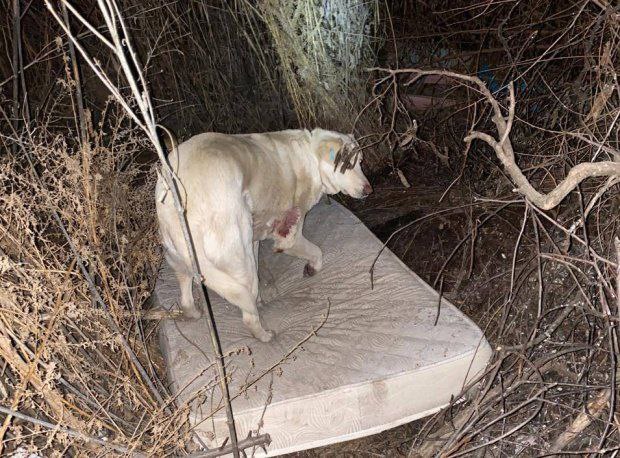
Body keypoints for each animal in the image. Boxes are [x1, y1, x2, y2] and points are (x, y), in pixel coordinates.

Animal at [157, 128, 370, 340]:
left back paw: (194, 313)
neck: (311, 157)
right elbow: (316, 252)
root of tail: (178, 208)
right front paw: (312, 268)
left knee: (187, 297)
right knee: (248, 315)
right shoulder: (289, 238)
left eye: (360, 162)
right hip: (240, 261)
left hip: (179, 259)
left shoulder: (254, 240)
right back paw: (266, 336)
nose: (369, 190)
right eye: (348, 165)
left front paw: (261, 299)